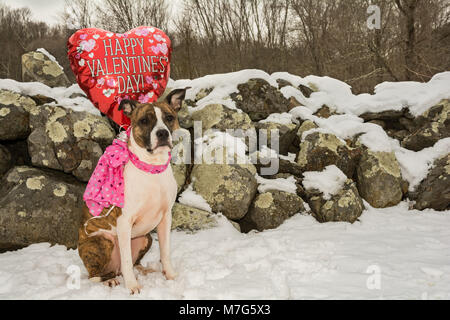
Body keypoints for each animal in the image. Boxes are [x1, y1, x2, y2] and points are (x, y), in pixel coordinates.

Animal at [77, 88, 188, 296]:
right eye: (144, 121)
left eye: (169, 117)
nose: (162, 133)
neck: (151, 168)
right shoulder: (124, 221)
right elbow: (126, 260)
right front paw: (132, 286)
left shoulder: (165, 218)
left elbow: (165, 251)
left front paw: (170, 275)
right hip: (101, 242)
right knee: (97, 274)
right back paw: (109, 280)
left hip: (145, 237)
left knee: (131, 263)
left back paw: (144, 270)